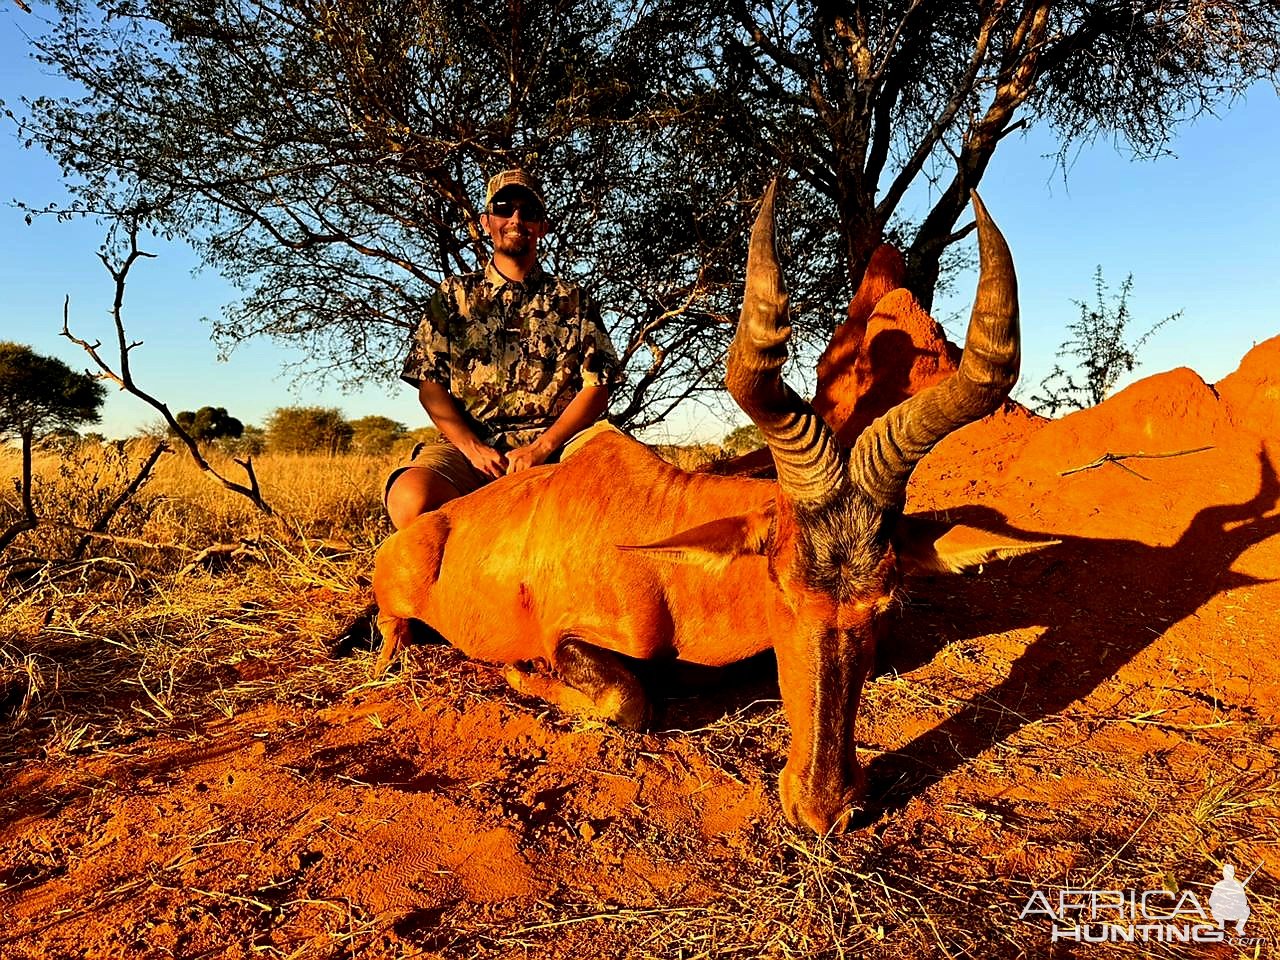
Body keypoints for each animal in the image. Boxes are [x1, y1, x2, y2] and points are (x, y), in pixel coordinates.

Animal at [373, 188, 1049, 834]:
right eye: (780, 587)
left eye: (887, 602)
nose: (824, 809)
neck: (658, 536)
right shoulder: (568, 636)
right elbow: (627, 701)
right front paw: (518, 671)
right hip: (399, 603)